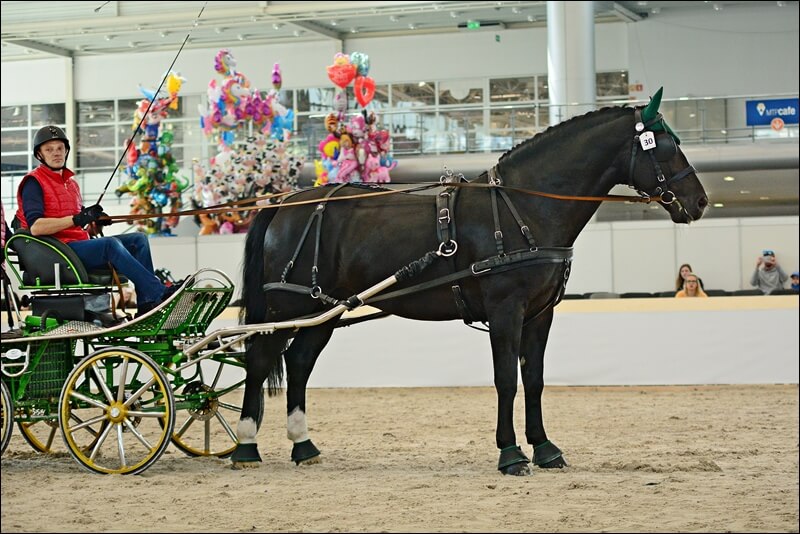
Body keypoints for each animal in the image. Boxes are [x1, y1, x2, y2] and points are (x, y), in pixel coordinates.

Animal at [230, 89, 708, 478]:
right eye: (666, 147)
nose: (700, 202)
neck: (523, 207)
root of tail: (286, 201)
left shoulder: (539, 314)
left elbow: (534, 379)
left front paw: (545, 448)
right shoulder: (505, 310)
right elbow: (506, 379)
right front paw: (511, 454)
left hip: (325, 309)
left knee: (299, 362)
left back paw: (303, 445)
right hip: (288, 306)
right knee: (260, 360)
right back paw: (246, 446)